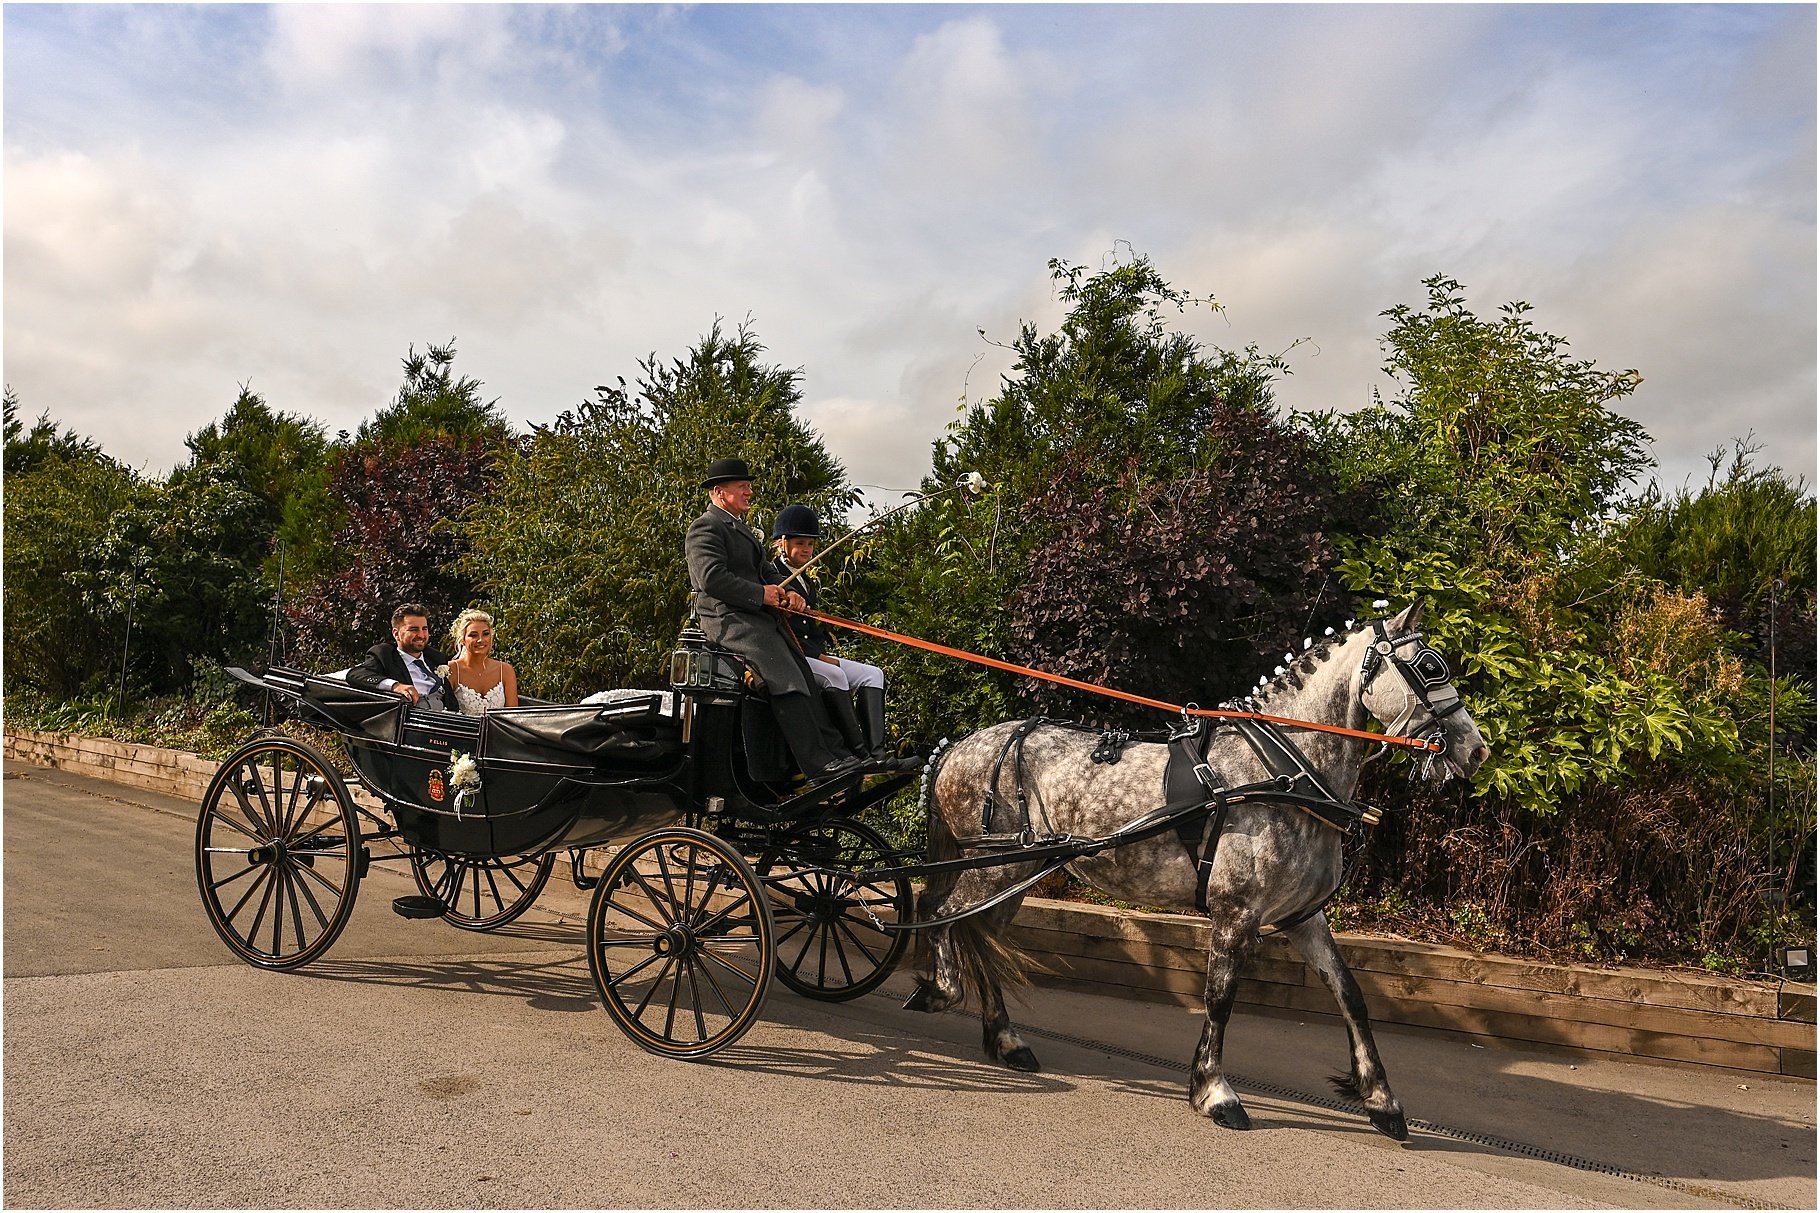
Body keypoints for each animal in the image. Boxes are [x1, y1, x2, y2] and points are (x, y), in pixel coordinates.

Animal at [910, 601, 1492, 1136]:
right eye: (1432, 666)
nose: (1477, 750)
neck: (1280, 773)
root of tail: (958, 745)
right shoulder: (1235, 912)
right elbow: (1219, 998)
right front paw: (1215, 1092)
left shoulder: (1304, 917)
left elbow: (1350, 995)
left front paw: (1381, 1100)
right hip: (991, 867)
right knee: (936, 909)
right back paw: (941, 989)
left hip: (1014, 874)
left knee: (977, 932)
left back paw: (1006, 1039)